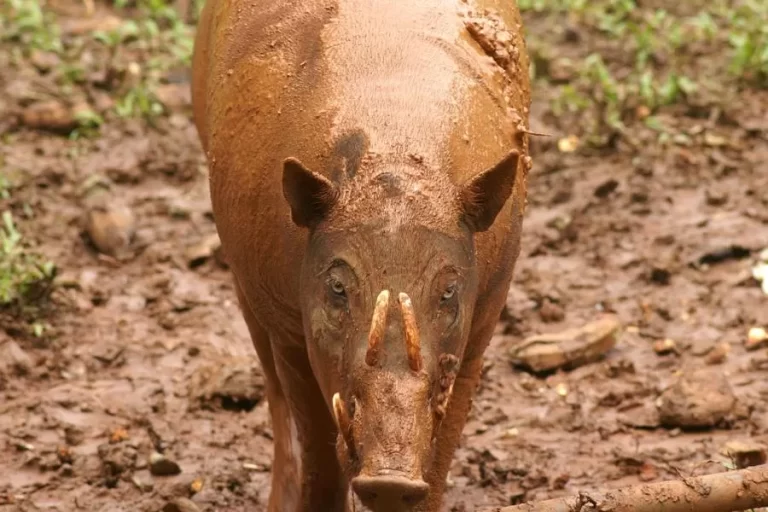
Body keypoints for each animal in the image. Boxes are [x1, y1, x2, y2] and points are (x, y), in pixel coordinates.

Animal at [189, 0, 532, 510]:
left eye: (449, 290)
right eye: (337, 286)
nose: (389, 481)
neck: (393, 155)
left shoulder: (484, 320)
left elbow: (440, 457)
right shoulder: (286, 321)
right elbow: (315, 445)